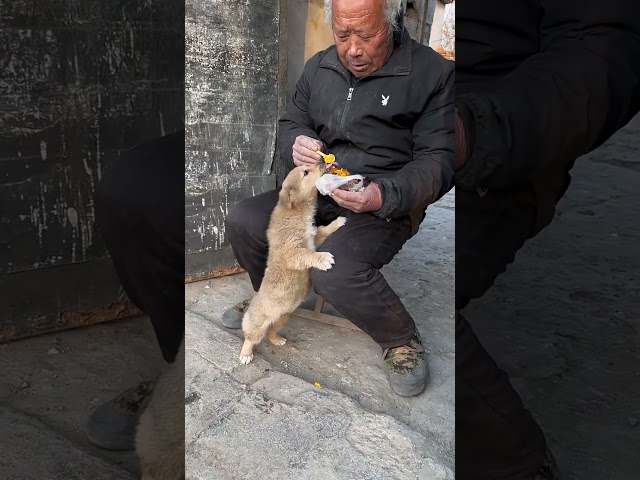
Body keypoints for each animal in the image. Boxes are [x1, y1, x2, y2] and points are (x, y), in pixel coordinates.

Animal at [240, 163, 348, 362]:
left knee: (270, 332)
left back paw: (277, 340)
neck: (297, 211)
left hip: (283, 317)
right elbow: (306, 254)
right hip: (257, 323)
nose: (322, 161)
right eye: (305, 172)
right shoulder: (290, 251)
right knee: (251, 337)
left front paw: (338, 222)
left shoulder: (314, 238)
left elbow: (323, 230)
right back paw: (245, 355)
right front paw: (323, 259)